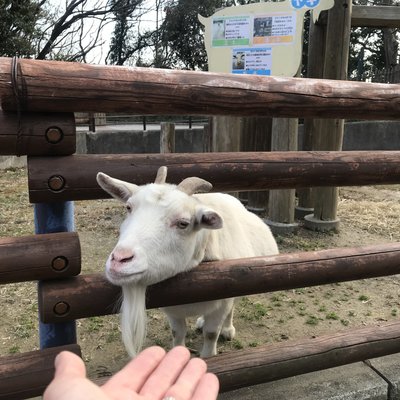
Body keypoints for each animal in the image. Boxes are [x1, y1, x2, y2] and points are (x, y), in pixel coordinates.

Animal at [96, 167, 278, 358]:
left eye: (183, 223)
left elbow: (211, 333)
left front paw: (208, 355)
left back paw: (228, 330)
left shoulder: (222, 303)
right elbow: (177, 332)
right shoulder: (172, 310)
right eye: (129, 207)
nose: (120, 259)